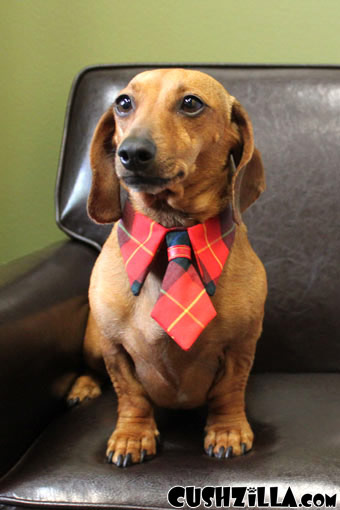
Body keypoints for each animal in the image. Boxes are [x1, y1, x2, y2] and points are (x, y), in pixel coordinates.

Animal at [67, 67, 268, 466]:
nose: (131, 153)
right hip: (93, 342)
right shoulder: (115, 349)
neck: (173, 228)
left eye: (191, 103)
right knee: (92, 369)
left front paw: (227, 430)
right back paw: (83, 386)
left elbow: (229, 391)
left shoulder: (241, 345)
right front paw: (132, 436)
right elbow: (130, 395)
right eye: (123, 103)